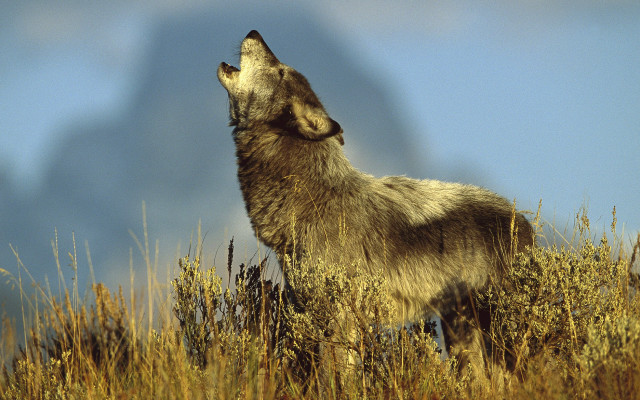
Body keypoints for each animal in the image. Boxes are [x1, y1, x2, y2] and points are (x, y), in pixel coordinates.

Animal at [217, 30, 534, 378]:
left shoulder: (340, 315)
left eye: (280, 71)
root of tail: (524, 223)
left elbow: (336, 376)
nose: (254, 33)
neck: (314, 197)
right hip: (462, 332)